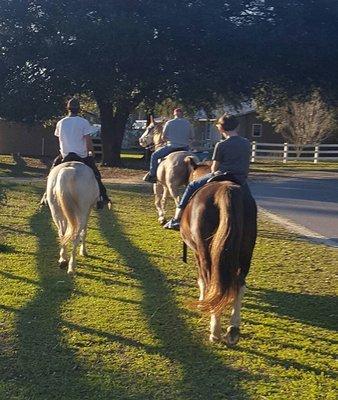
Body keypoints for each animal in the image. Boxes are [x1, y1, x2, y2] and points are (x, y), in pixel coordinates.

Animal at [180, 161, 256, 346]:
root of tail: (227, 189)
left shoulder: (197, 253)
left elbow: (201, 280)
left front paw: (201, 302)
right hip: (246, 252)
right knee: (239, 284)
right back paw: (233, 329)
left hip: (205, 253)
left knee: (214, 283)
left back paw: (215, 330)